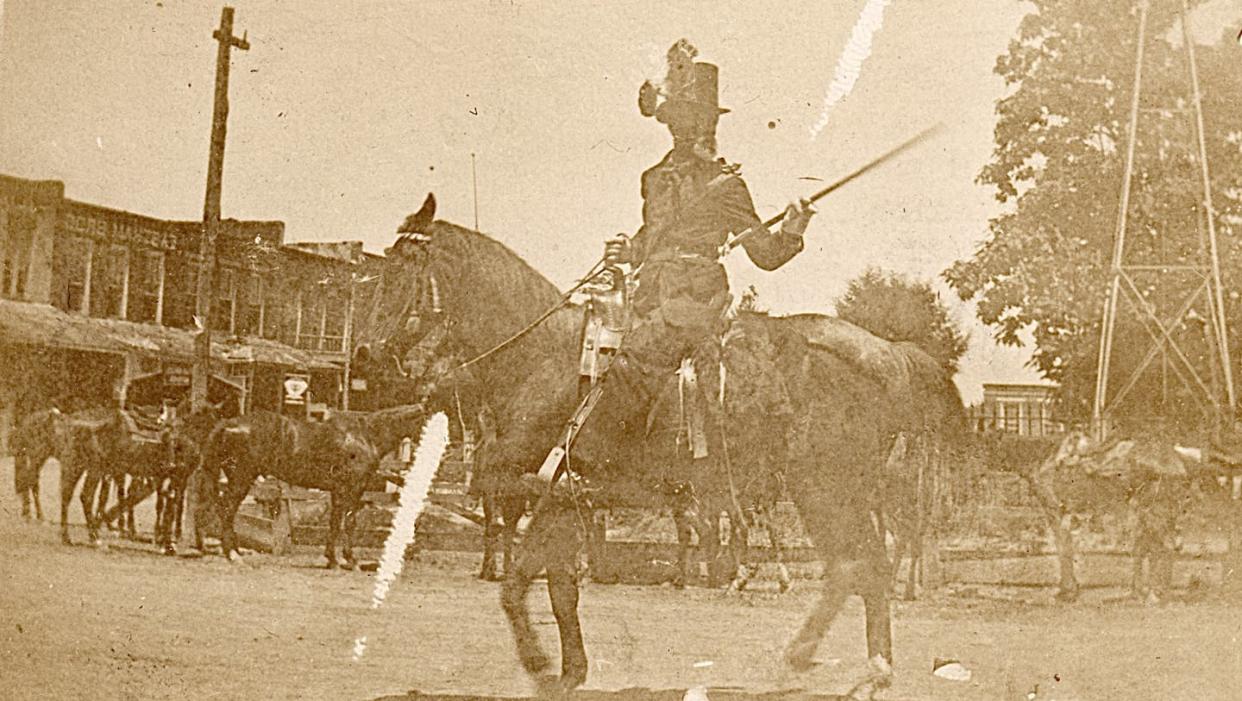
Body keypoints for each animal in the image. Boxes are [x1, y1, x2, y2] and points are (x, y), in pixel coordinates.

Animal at [355, 216, 963, 691]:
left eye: (402, 277)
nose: (363, 354)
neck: (542, 361)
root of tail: (888, 352)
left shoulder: (549, 496)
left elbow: (520, 583)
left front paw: (539, 663)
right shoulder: (558, 502)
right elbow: (556, 590)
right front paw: (569, 669)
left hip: (827, 487)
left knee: (862, 565)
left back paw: (846, 662)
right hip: (833, 490)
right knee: (856, 567)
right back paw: (844, 663)